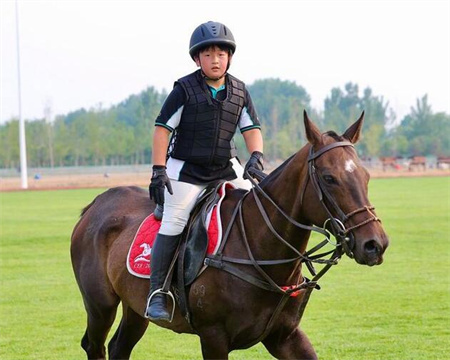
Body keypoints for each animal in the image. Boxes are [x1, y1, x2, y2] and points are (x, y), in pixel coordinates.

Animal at [72, 111, 388, 358]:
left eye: (365, 176)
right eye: (329, 178)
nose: (375, 244)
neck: (262, 251)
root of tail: (94, 204)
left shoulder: (285, 336)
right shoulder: (213, 337)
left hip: (135, 308)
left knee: (119, 347)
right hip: (100, 305)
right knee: (95, 345)